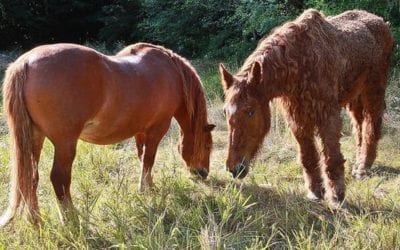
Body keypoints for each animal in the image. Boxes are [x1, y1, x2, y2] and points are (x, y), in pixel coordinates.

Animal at [1, 42, 216, 224]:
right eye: (207, 146)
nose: (203, 173)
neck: (172, 73)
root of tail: (26, 62)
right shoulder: (157, 129)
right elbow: (149, 160)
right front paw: (147, 189)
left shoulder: (140, 131)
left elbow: (142, 158)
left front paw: (147, 187)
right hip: (64, 143)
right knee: (59, 179)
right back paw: (71, 220)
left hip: (35, 138)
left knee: (31, 177)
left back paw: (35, 220)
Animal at [220, 9, 392, 207]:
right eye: (225, 112)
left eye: (250, 111)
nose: (234, 168)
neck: (299, 62)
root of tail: (380, 21)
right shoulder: (297, 119)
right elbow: (308, 157)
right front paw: (315, 191)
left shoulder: (328, 115)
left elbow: (331, 157)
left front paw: (337, 196)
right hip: (355, 97)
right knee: (359, 127)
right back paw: (358, 163)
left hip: (373, 90)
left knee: (371, 125)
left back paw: (363, 167)